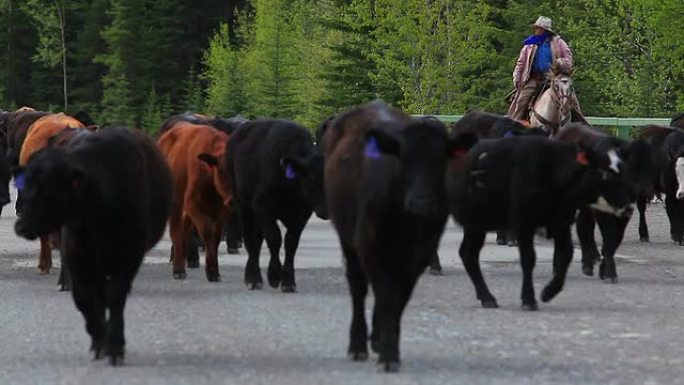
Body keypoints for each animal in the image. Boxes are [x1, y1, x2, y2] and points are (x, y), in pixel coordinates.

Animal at [15, 127, 172, 364]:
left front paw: (114, 346)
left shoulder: (129, 255)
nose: (20, 225)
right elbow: (83, 298)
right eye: (25, 186)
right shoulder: (78, 256)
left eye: (48, 190)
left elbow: (115, 296)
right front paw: (99, 340)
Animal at [157, 121, 232, 280]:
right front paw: (211, 271)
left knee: (183, 232)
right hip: (177, 204)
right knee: (176, 232)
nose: (233, 198)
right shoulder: (194, 205)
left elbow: (216, 237)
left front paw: (214, 271)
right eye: (222, 171)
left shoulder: (223, 211)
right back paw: (178, 269)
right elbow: (207, 234)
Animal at [226, 119, 328, 292]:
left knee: (257, 240)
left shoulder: (301, 215)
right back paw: (253, 279)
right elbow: (274, 238)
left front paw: (288, 282)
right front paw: (274, 275)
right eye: (312, 180)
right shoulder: (263, 208)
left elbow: (291, 243)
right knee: (250, 240)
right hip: (243, 205)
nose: (326, 210)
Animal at [322, 100, 460, 370]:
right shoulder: (370, 245)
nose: (421, 202)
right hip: (349, 243)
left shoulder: (419, 253)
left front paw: (386, 345)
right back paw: (357, 346)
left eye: (441, 160)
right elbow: (385, 294)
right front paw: (387, 354)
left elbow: (399, 299)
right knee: (358, 288)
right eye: (403, 159)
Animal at [452, 135, 632, 308]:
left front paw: (549, 292)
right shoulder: (524, 224)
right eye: (606, 174)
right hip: (475, 223)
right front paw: (529, 299)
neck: (552, 171)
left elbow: (565, 256)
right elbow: (528, 259)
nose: (629, 207)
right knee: (468, 253)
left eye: (623, 171)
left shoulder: (561, 223)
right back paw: (487, 297)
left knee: (468, 254)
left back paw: (487, 297)